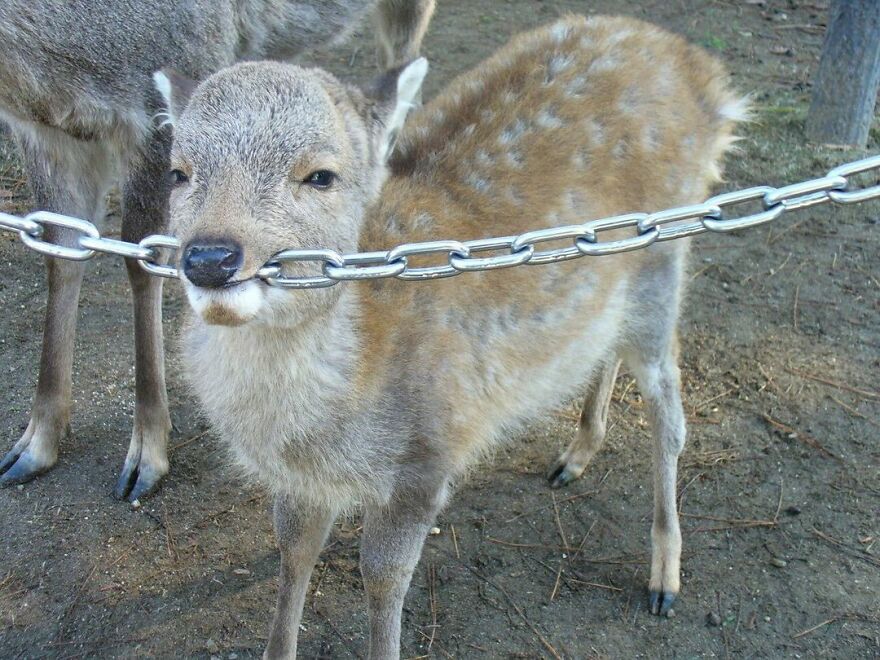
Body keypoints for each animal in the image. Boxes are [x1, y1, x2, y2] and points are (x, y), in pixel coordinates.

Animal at [0, 0, 435, 501]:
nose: (213, 262)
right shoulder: (44, 130)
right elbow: (61, 249)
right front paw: (33, 443)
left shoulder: (169, 78)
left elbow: (142, 260)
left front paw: (146, 453)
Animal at [158, 14, 748, 658]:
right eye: (178, 172)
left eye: (320, 175)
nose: (210, 258)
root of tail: (705, 76)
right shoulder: (297, 480)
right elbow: (294, 552)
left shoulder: (427, 455)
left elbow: (382, 578)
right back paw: (576, 454)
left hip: (664, 257)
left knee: (669, 406)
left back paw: (664, 575)